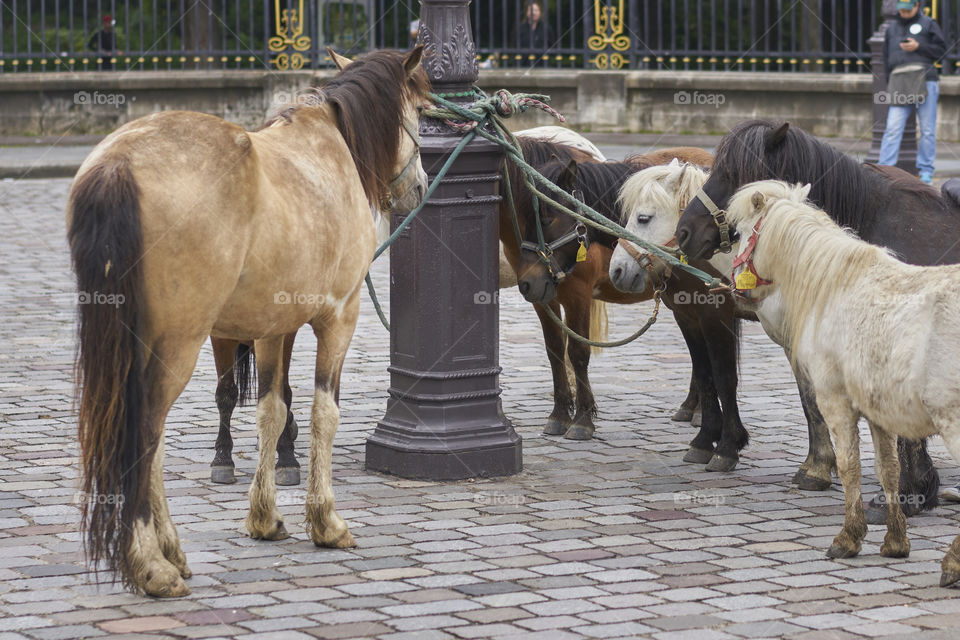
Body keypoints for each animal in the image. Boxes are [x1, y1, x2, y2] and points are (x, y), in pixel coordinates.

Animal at [67, 47, 428, 596]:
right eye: (423, 113)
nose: (422, 187)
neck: (333, 150)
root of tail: (118, 163)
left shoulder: (272, 328)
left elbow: (271, 412)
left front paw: (265, 517)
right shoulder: (339, 318)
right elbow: (324, 412)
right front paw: (325, 521)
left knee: (151, 439)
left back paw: (169, 551)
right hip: (178, 343)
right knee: (146, 433)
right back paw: (152, 564)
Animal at [724, 178, 960, 588]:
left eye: (738, 234)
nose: (735, 288)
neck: (835, 285)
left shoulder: (835, 401)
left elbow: (849, 465)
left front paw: (848, 538)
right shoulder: (878, 411)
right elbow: (888, 469)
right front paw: (895, 541)